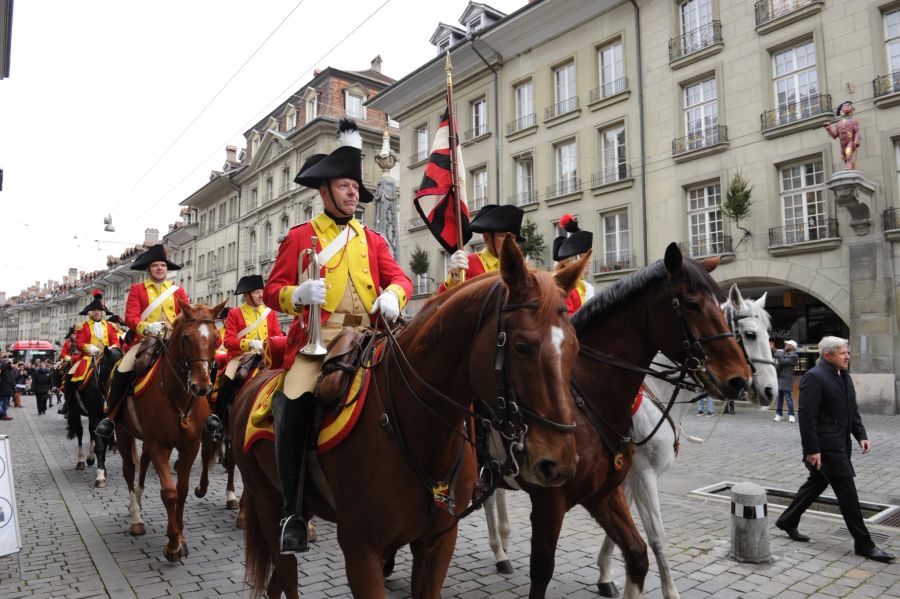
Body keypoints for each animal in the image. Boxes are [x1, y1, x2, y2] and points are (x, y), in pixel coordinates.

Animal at [63, 346, 123, 488]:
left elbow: (103, 441)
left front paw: (103, 469)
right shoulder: (95, 416)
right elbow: (100, 446)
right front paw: (100, 476)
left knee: (91, 432)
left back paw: (90, 458)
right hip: (74, 412)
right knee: (80, 433)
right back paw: (80, 461)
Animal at [103, 298, 227, 564]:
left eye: (216, 338)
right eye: (186, 338)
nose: (201, 386)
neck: (179, 398)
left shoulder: (190, 446)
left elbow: (182, 490)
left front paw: (181, 537)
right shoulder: (160, 444)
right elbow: (169, 492)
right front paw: (172, 545)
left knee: (142, 464)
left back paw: (139, 501)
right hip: (123, 432)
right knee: (129, 470)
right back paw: (136, 517)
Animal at [229, 238, 588, 599]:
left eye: (575, 346)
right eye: (521, 345)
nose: (560, 464)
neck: (422, 433)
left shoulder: (437, 544)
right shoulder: (361, 550)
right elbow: (277, 286)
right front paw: (310, 290)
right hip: (267, 500)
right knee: (286, 571)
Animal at [478, 244, 752, 599]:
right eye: (692, 304)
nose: (740, 381)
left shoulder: (612, 486)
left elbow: (635, 546)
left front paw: (608, 575)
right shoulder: (565, 496)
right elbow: (653, 536)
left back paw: (502, 549)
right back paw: (499, 551)